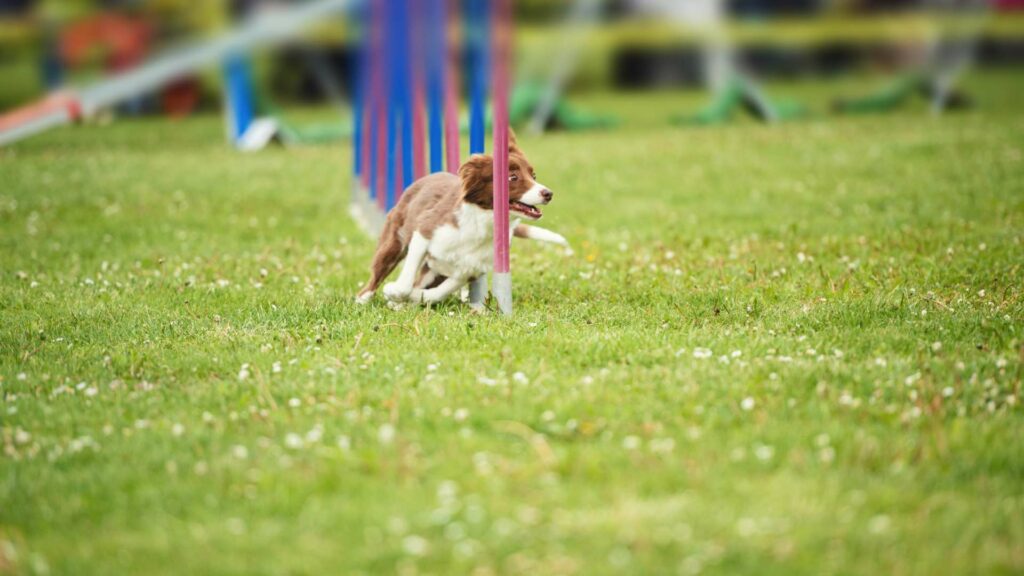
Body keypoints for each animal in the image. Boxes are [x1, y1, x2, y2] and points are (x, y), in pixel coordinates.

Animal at [356, 132, 569, 307]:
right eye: (512, 177)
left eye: (534, 175)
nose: (548, 194)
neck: (482, 223)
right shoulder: (425, 232)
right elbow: (406, 282)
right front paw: (393, 291)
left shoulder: (468, 269)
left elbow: (435, 294)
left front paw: (405, 298)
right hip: (394, 240)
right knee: (377, 274)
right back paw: (363, 299)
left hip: (433, 270)